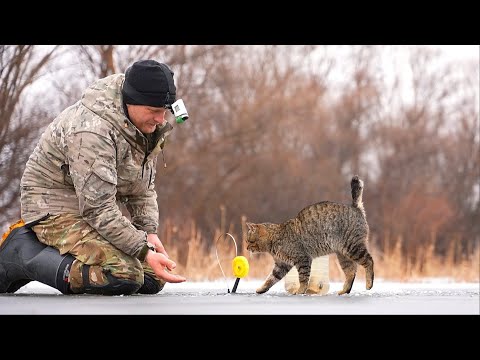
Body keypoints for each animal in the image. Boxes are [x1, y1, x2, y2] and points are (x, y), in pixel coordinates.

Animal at [246, 174, 374, 296]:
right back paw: (344, 290)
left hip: (353, 248)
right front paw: (262, 289)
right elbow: (270, 279)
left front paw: (300, 290)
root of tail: (355, 207)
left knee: (369, 261)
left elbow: (303, 278)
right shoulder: (281, 265)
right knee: (351, 272)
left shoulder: (303, 259)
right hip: (343, 255)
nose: (246, 247)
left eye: (248, 240)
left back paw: (369, 284)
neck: (275, 239)